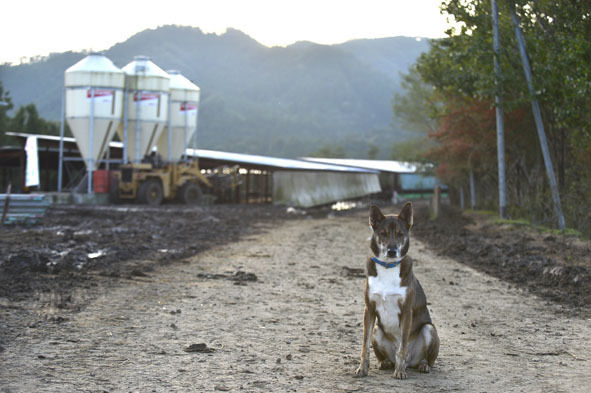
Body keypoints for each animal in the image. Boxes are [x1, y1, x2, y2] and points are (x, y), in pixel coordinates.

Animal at [354, 202, 438, 376]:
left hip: (429, 329)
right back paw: (385, 363)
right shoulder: (369, 309)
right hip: (377, 330)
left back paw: (421, 365)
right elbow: (365, 345)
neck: (388, 266)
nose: (392, 251)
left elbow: (402, 347)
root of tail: (411, 362)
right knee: (384, 355)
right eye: (383, 234)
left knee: (426, 359)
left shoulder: (406, 310)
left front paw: (399, 372)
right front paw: (362, 369)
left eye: (400, 234)